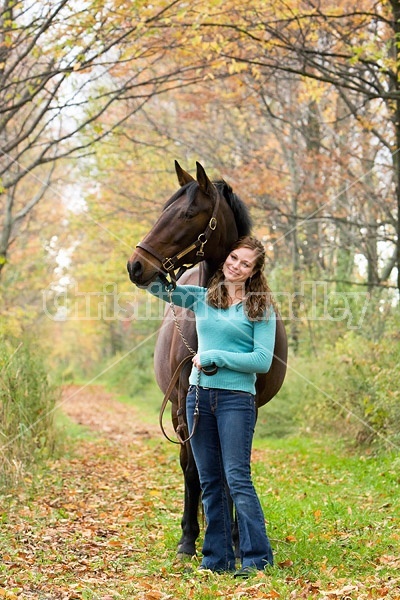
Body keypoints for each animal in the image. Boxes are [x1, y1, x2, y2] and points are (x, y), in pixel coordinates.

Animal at [126, 162, 286, 556]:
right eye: (163, 210)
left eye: (187, 214)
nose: (136, 266)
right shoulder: (185, 405)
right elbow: (194, 469)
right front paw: (189, 537)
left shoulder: (249, 406)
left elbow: (234, 465)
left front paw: (235, 537)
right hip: (176, 408)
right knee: (192, 465)